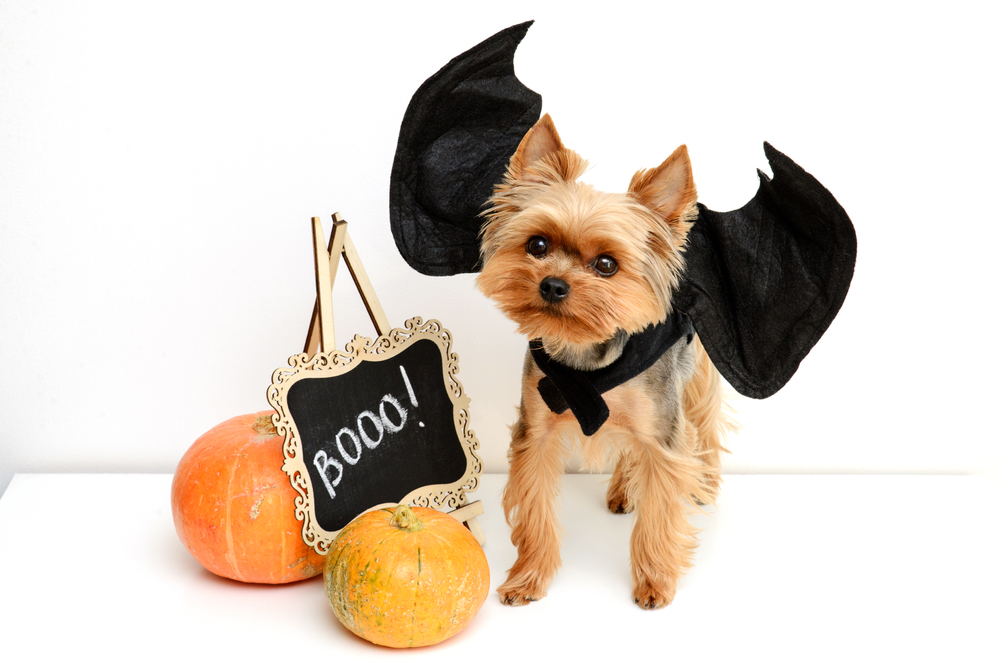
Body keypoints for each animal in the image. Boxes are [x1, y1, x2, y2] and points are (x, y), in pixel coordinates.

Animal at [476, 115, 736, 612]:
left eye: (606, 265)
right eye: (537, 244)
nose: (553, 285)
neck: (588, 355)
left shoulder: (662, 433)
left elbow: (660, 512)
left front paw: (654, 582)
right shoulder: (536, 432)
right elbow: (535, 508)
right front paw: (529, 577)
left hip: (696, 381)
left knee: (706, 425)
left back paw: (705, 485)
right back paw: (621, 491)